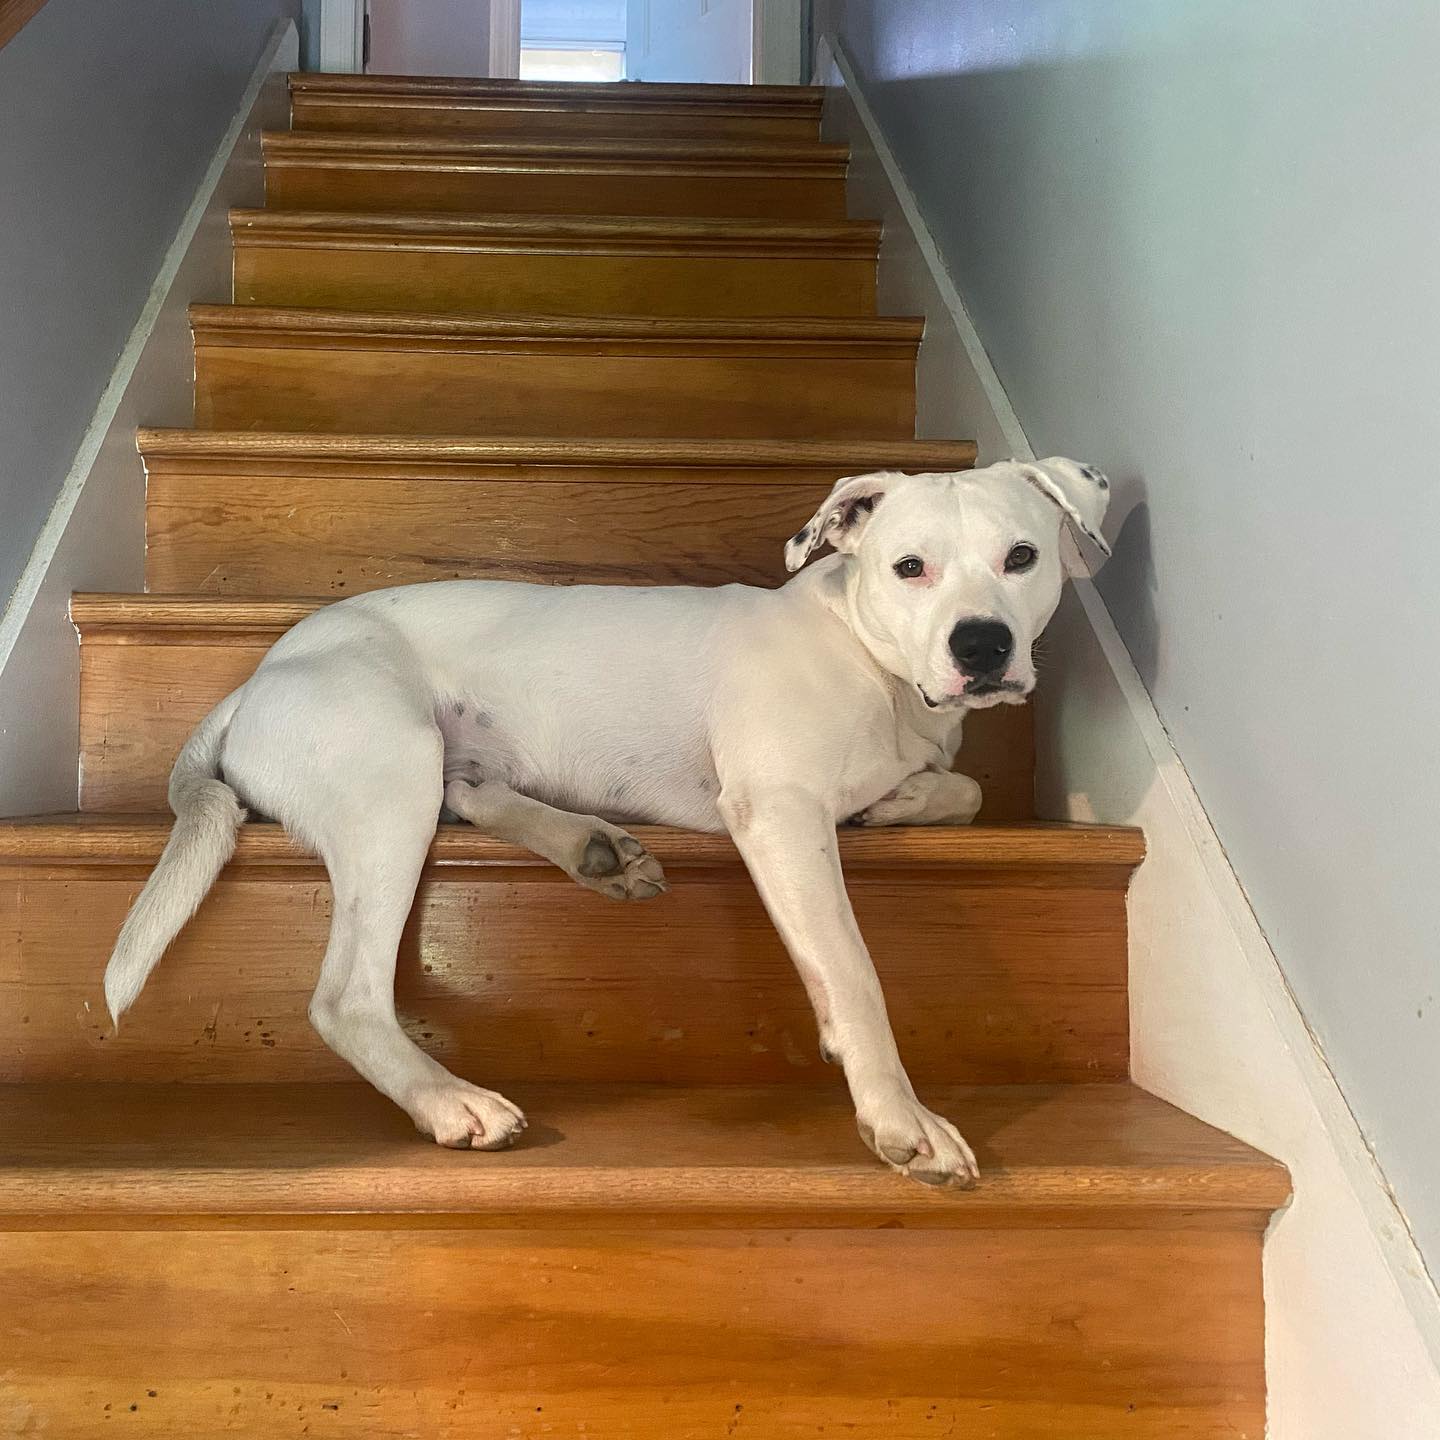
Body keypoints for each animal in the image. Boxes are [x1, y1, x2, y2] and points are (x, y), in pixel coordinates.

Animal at [104, 455, 1111, 1186]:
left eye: (1024, 558)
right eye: (910, 568)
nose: (983, 646)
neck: (873, 665)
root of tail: (254, 681)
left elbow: (963, 789)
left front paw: (900, 800)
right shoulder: (780, 815)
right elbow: (854, 975)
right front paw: (902, 1118)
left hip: (437, 764)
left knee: (471, 791)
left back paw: (592, 846)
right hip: (387, 775)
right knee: (347, 995)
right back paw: (447, 1101)